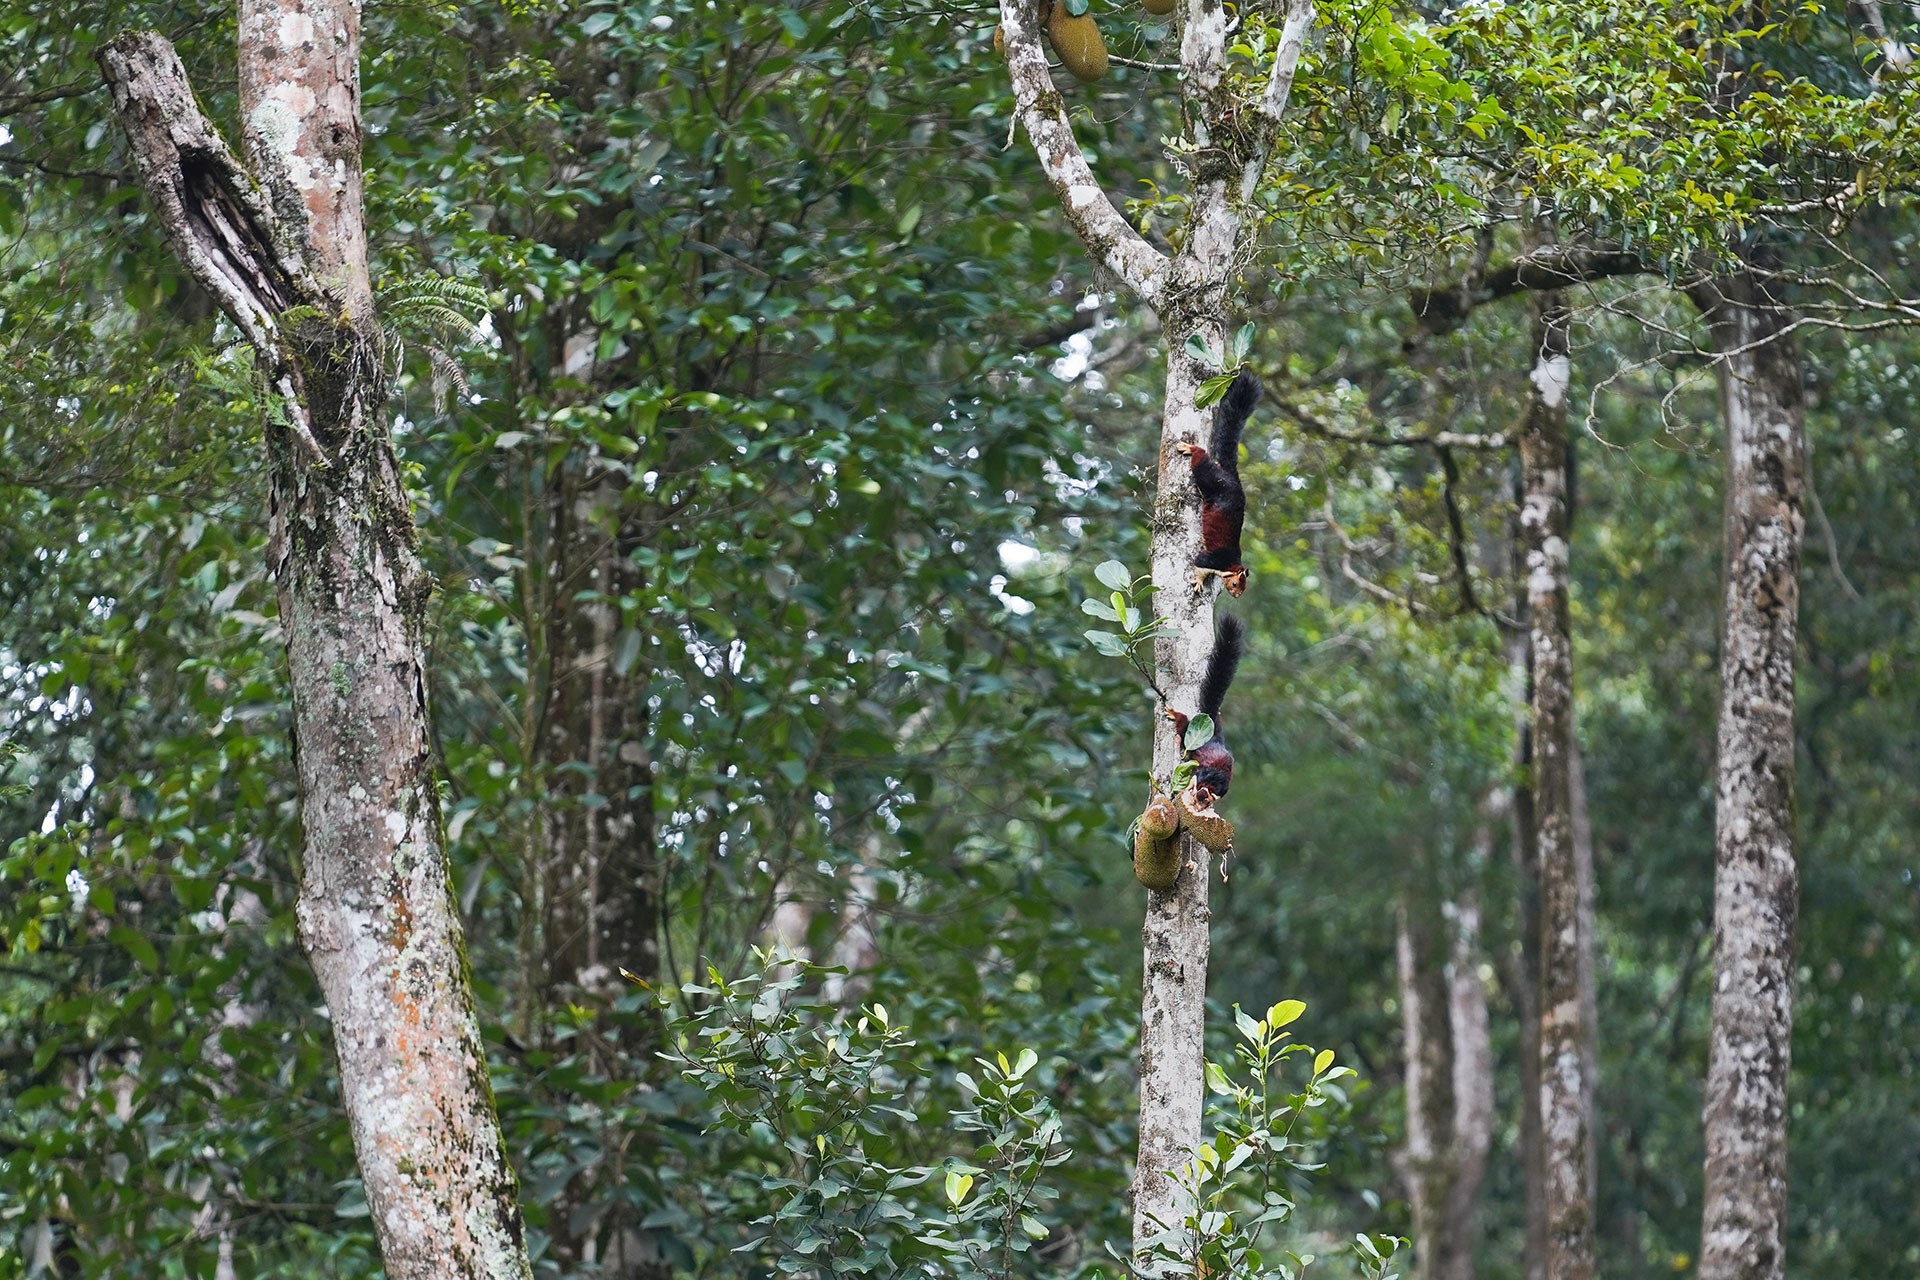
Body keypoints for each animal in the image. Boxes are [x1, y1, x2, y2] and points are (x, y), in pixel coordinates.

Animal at [1174, 368, 1261, 596]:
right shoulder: (1213, 559)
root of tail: (1232, 477)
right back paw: (1191, 449)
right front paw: (1198, 582)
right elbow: (1199, 564)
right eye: (1236, 584)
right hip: (1212, 478)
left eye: (1243, 588)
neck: (1229, 565)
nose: (1237, 596)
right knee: (1201, 461)